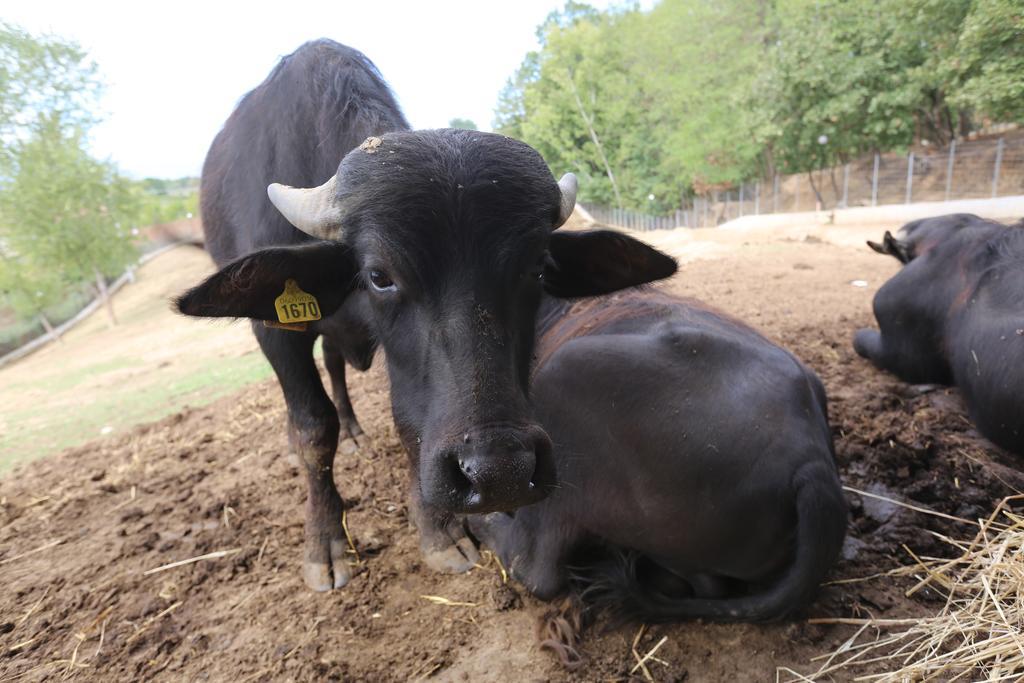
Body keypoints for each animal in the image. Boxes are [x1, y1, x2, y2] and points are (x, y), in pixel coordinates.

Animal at [180, 40, 675, 589]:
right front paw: (325, 544)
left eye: (539, 268)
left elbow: (410, 421)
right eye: (379, 275)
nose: (499, 472)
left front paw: (439, 533)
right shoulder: (277, 334)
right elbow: (313, 428)